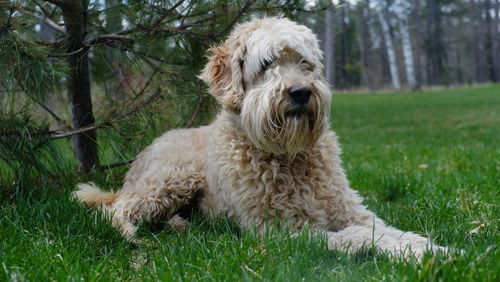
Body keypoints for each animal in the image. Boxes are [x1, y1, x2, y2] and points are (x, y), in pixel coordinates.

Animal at [76, 17, 448, 260]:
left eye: (304, 62)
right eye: (267, 62)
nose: (300, 92)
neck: (288, 156)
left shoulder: (349, 209)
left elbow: (382, 228)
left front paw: (431, 248)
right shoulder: (282, 230)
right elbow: (356, 237)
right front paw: (405, 251)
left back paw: (179, 224)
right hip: (170, 179)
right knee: (114, 210)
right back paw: (130, 234)